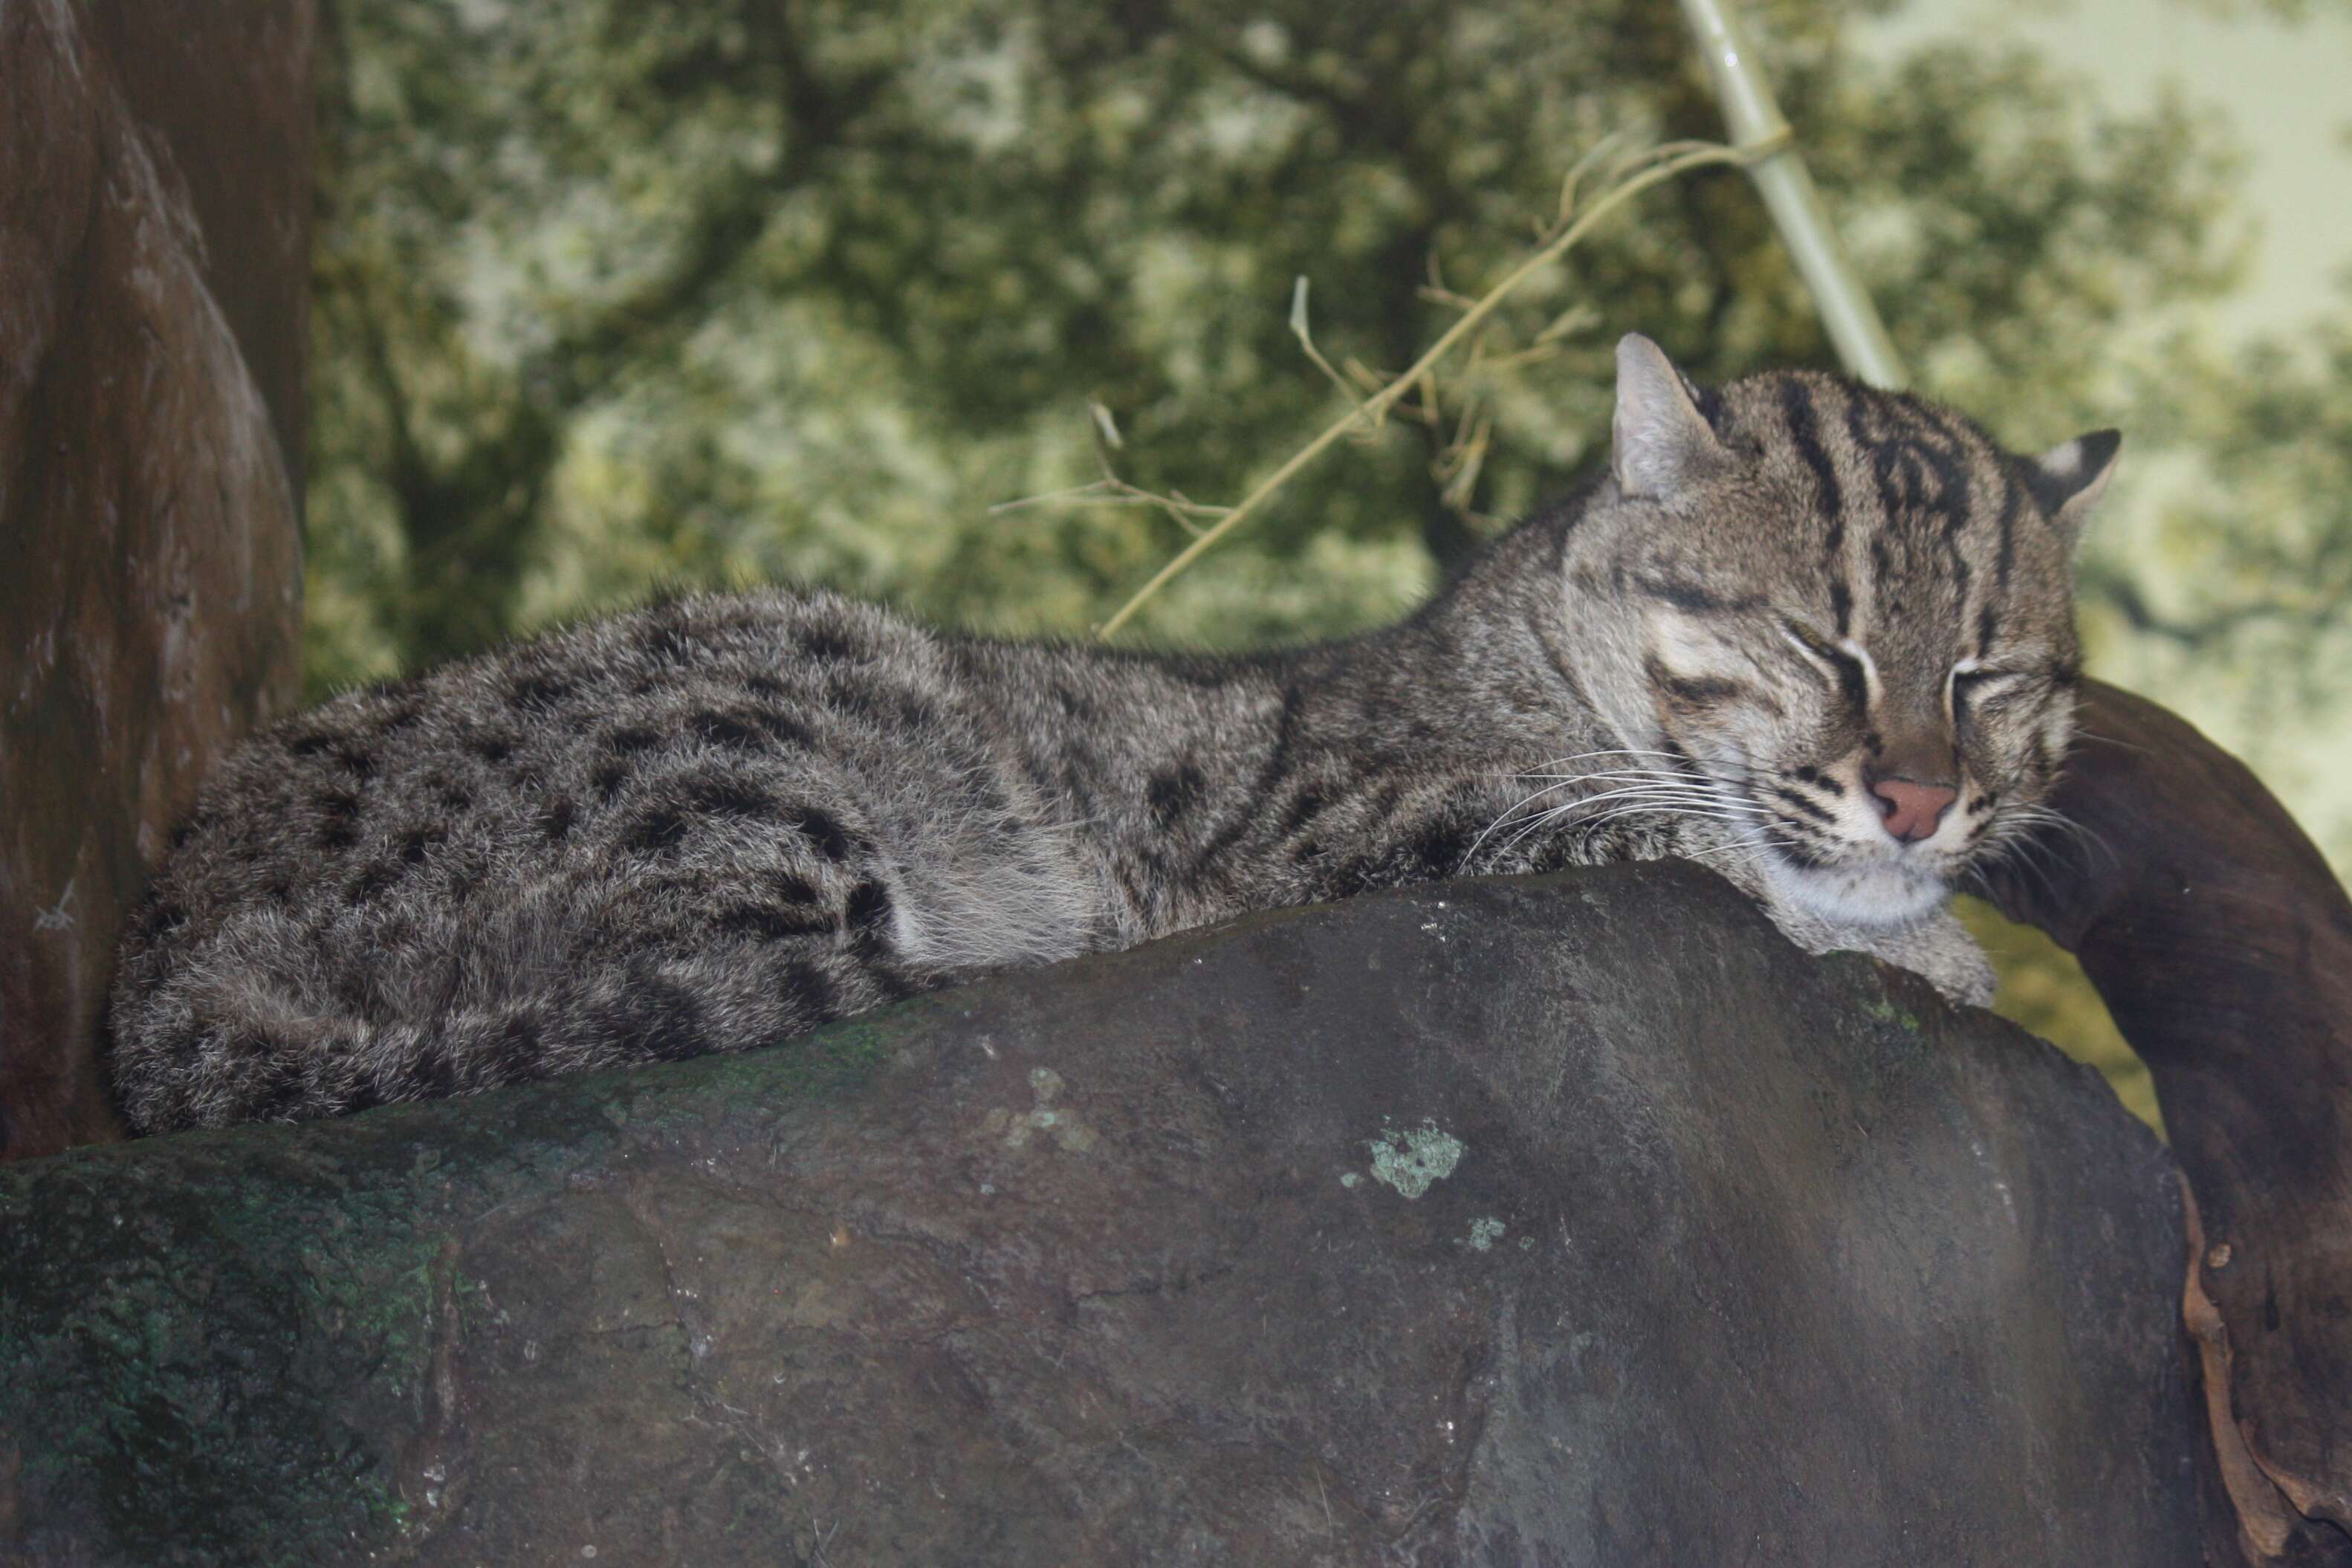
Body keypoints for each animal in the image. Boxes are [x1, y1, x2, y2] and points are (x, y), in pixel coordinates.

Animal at [106, 338, 2116, 1133]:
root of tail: (163, 972)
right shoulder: (1319, 833)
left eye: (1992, 675)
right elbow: (1675, 835)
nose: (1921, 798)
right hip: (763, 737)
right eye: (1817, 640)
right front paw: (1914, 941)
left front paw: (1933, 928)